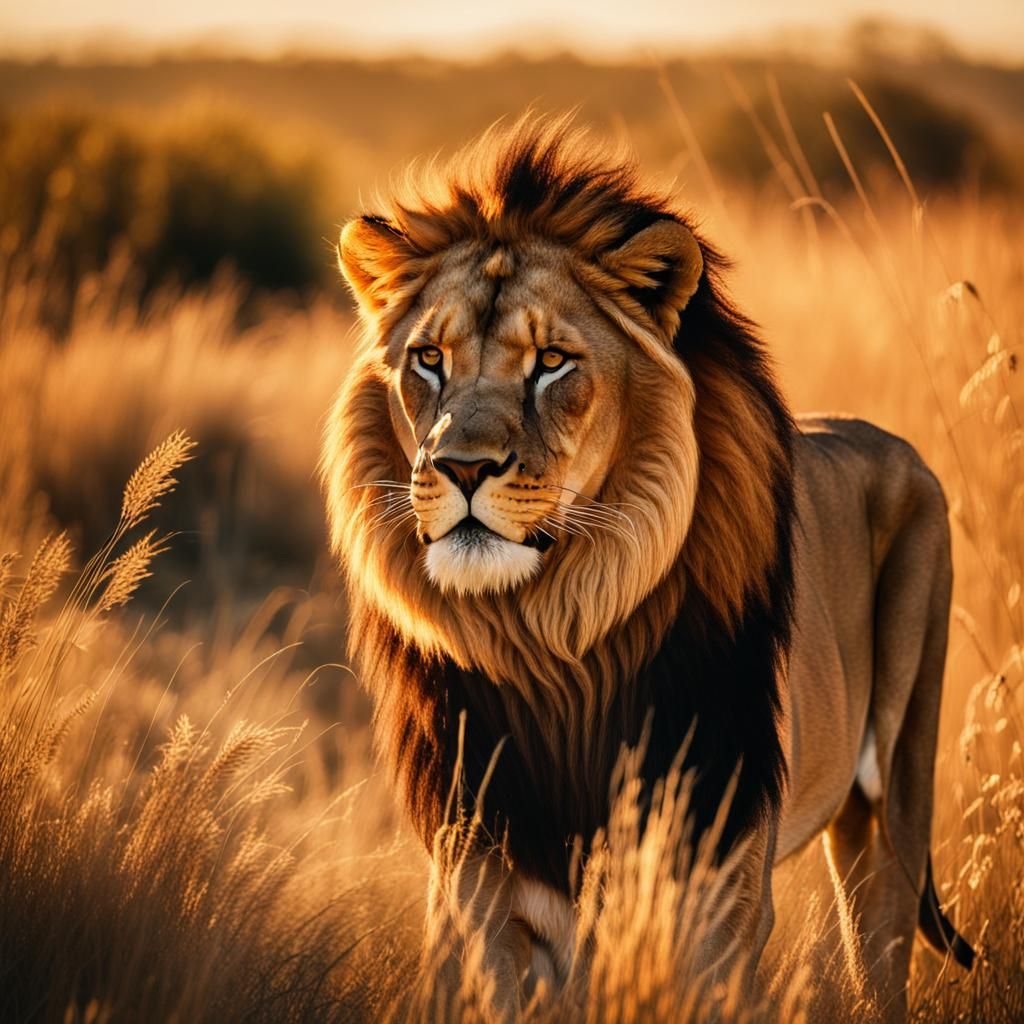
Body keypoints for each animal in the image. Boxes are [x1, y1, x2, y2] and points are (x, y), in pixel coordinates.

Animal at [321, 115, 974, 1019]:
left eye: (551, 361)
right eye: (428, 358)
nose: (460, 466)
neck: (550, 650)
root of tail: (887, 439)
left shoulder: (718, 896)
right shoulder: (477, 887)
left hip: (898, 785)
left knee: (881, 945)